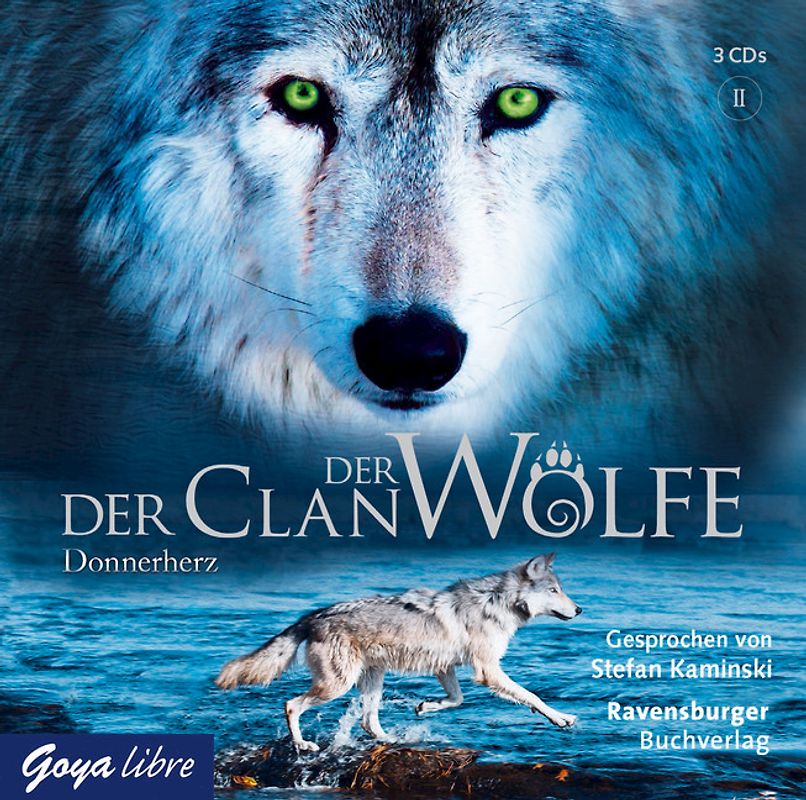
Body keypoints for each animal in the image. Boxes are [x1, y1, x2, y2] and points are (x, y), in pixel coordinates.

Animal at [216, 553, 581, 751]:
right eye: (554, 590)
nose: (579, 609)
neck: (496, 604)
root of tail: (314, 615)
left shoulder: (445, 667)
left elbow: (457, 699)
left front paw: (425, 706)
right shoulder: (487, 670)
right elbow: (531, 696)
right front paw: (560, 718)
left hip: (372, 680)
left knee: (367, 722)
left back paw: (392, 739)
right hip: (338, 685)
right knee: (291, 705)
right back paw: (303, 744)